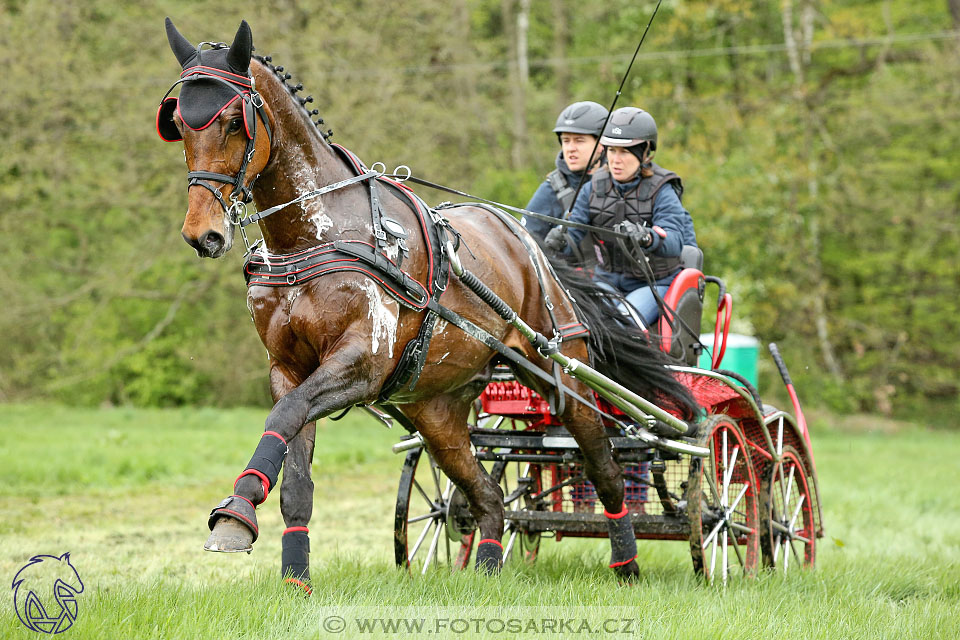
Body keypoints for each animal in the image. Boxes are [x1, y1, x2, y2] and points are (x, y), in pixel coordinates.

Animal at [159, 18, 696, 592]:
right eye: (180, 125)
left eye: (232, 122)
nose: (203, 234)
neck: (314, 236)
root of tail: (527, 242)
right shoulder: (289, 369)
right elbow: (293, 466)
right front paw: (294, 579)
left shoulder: (361, 363)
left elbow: (284, 415)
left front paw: (236, 512)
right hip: (435, 411)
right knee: (488, 496)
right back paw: (487, 572)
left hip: (562, 374)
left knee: (605, 469)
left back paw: (628, 565)